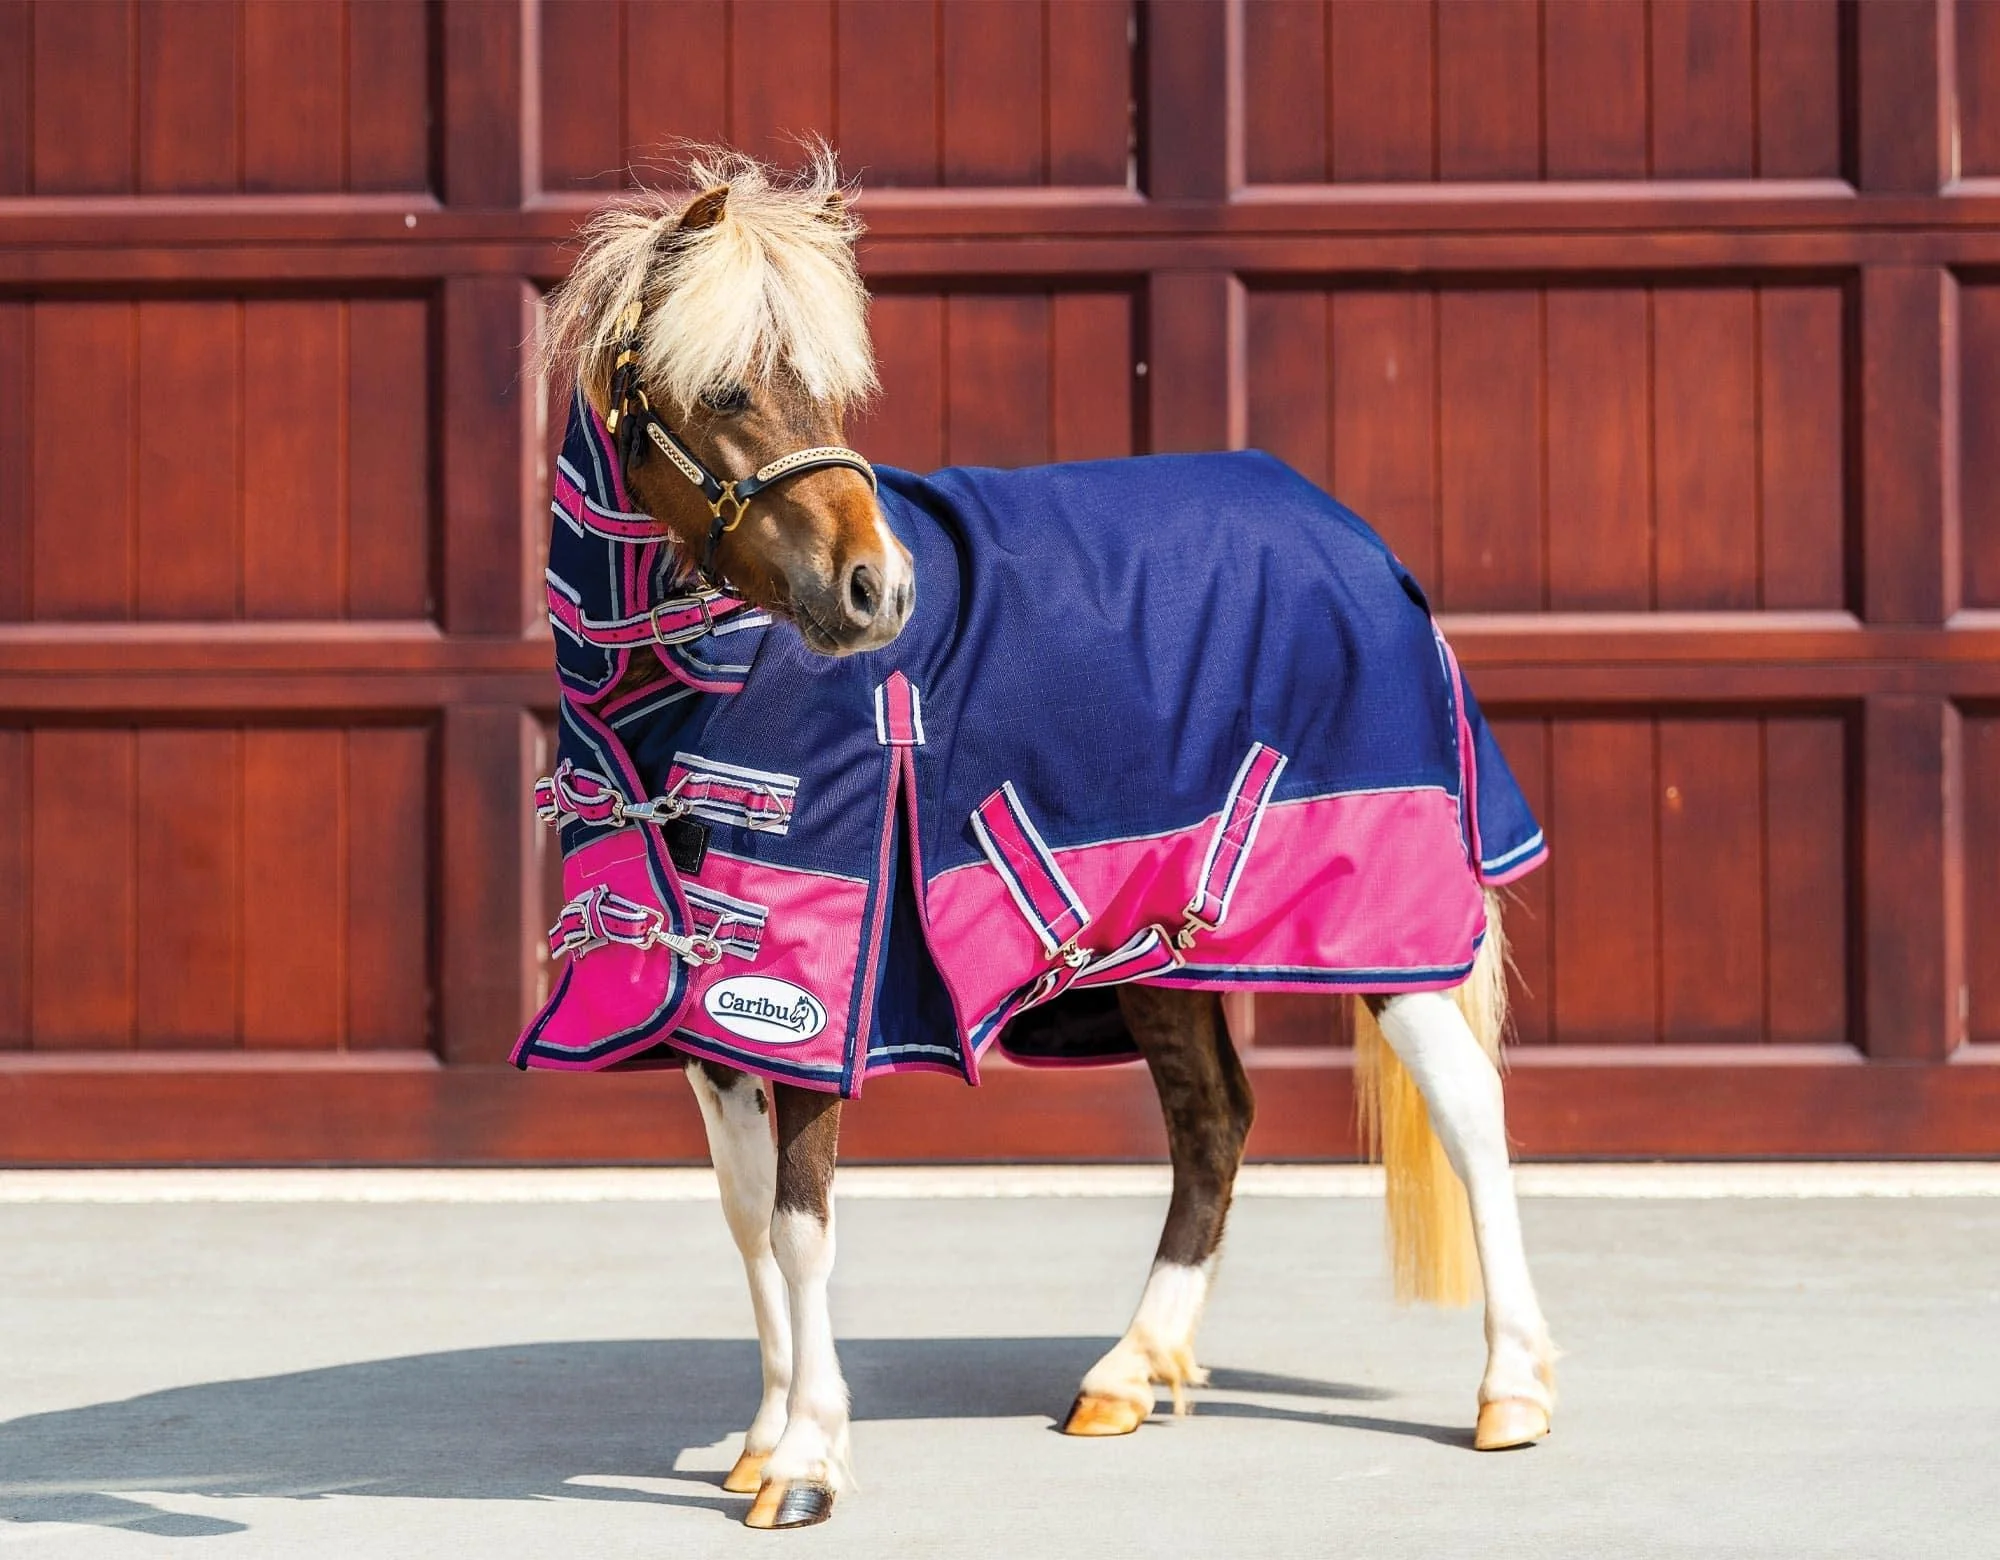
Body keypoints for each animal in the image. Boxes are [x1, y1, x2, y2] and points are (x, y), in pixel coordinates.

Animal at [524, 146, 1554, 1530]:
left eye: (832, 384)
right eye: (729, 386)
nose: (880, 591)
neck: (699, 689)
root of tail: (1353, 537)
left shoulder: (810, 988)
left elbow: (800, 1223)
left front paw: (805, 1464)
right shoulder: (706, 1016)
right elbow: (745, 1219)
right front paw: (762, 1437)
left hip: (1374, 933)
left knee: (1466, 1112)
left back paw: (1511, 1391)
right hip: (1163, 943)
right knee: (1213, 1122)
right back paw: (1126, 1370)